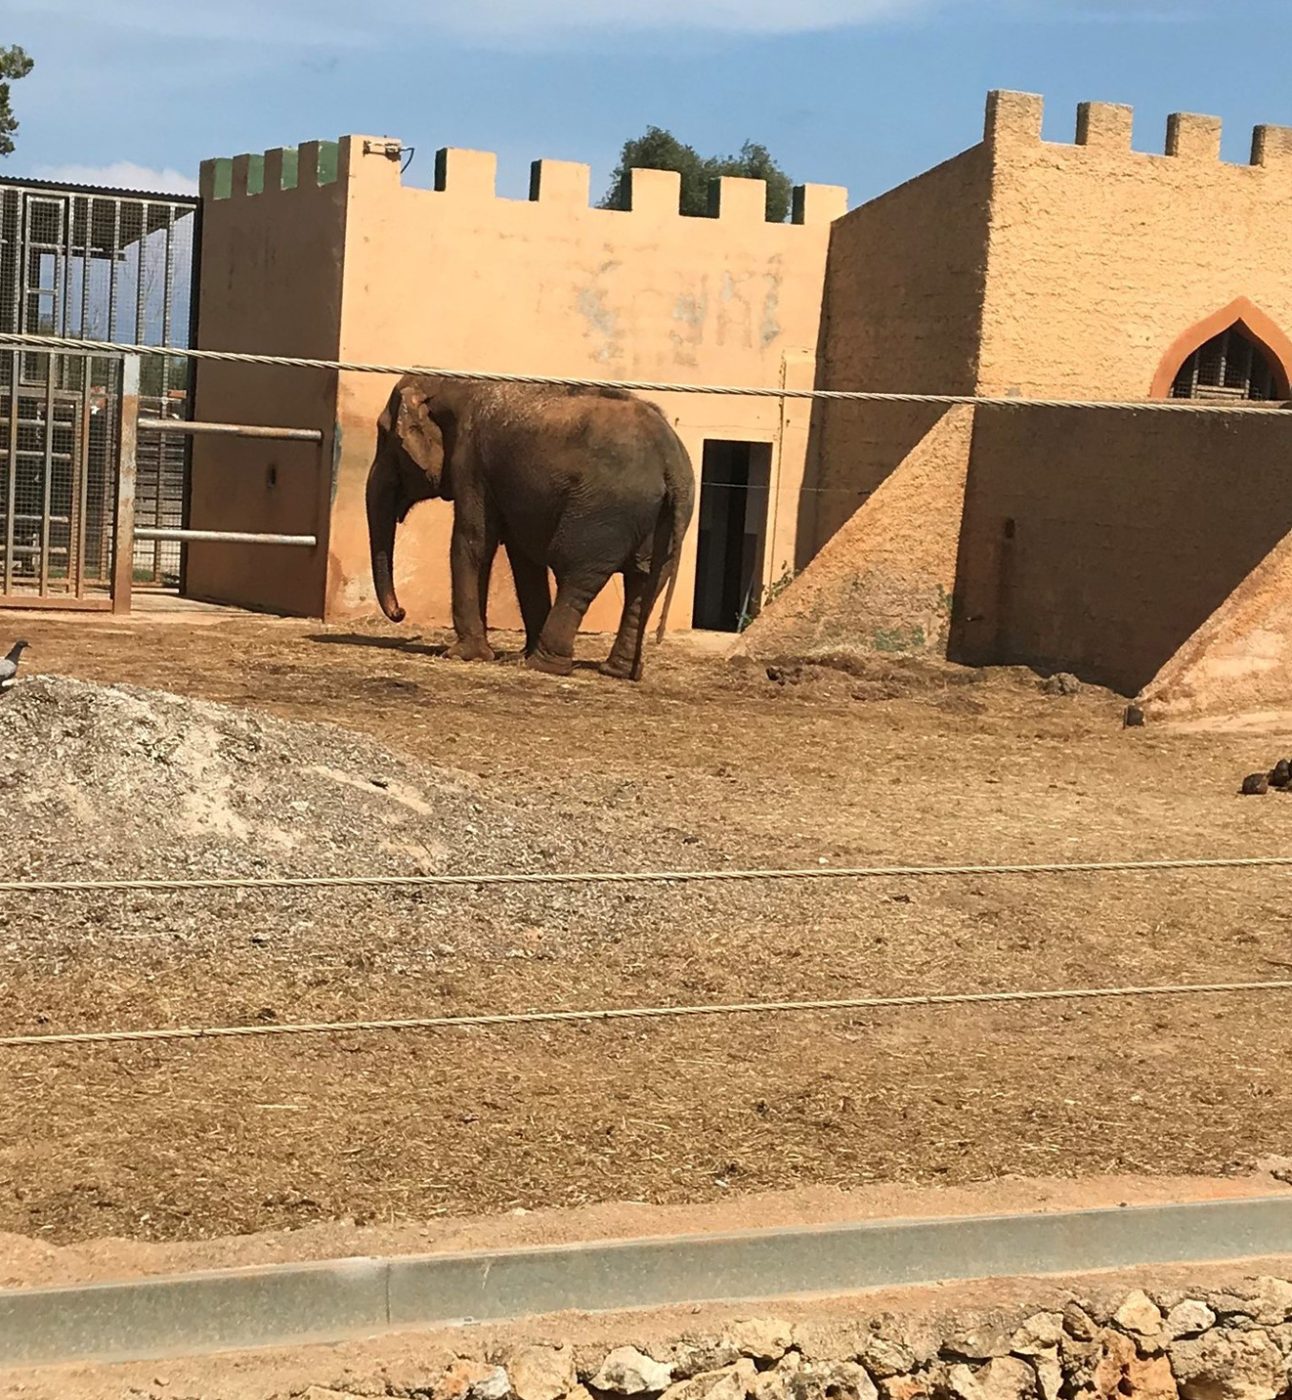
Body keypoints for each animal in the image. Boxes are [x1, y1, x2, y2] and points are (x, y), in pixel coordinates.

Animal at [366, 372, 697, 677]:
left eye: (385, 435)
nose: (400, 612)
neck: (450, 382)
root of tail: (670, 462)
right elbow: (521, 557)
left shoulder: (472, 461)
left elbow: (474, 541)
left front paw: (462, 656)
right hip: (665, 519)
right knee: (646, 584)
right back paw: (614, 671)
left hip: (605, 513)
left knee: (577, 575)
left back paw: (543, 665)